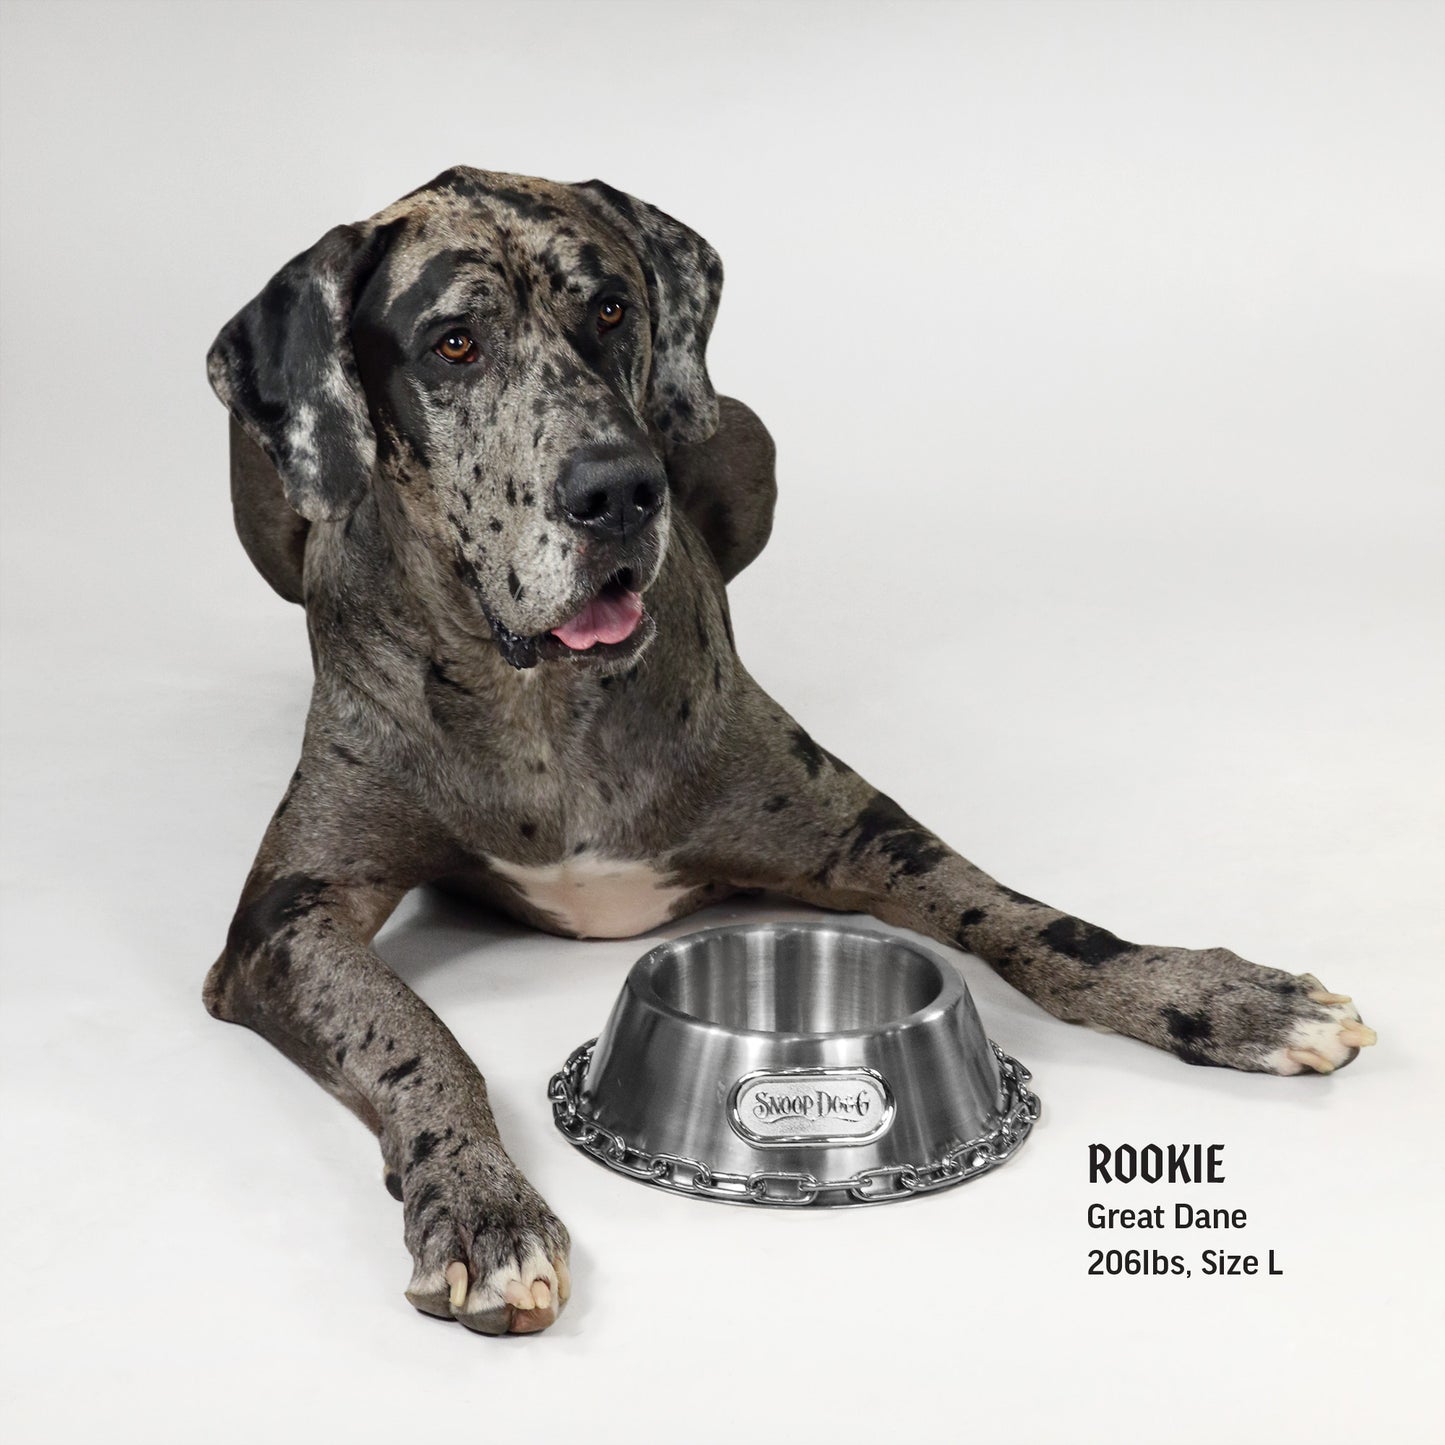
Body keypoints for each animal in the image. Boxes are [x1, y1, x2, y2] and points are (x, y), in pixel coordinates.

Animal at [206, 166, 1375, 1329]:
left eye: (611, 309)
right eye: (453, 343)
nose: (619, 491)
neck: (539, 699)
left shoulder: (864, 831)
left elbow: (1032, 922)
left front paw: (1221, 997)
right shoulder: (282, 921)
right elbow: (414, 1035)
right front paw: (480, 1200)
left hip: (745, 434)